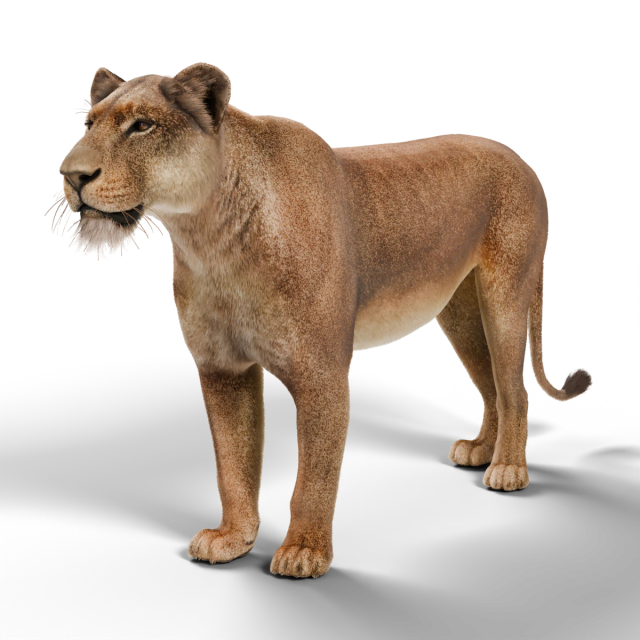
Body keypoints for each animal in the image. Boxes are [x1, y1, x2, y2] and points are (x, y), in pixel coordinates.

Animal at [52, 62, 593, 578]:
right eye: (88, 123)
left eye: (141, 126)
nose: (71, 176)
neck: (210, 239)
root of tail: (521, 160)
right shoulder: (222, 368)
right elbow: (233, 463)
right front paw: (232, 538)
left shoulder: (321, 374)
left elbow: (314, 474)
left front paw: (303, 553)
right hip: (458, 311)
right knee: (490, 385)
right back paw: (481, 449)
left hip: (505, 296)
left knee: (515, 389)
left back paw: (506, 469)